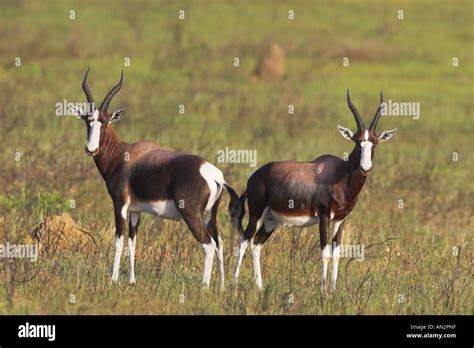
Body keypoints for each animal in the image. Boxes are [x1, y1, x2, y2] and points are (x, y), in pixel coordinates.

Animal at [72, 68, 239, 288]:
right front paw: (132, 281)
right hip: (209, 215)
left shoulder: (120, 204)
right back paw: (220, 287)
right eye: (87, 122)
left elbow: (118, 240)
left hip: (191, 214)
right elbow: (132, 242)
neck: (124, 154)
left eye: (105, 122)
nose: (90, 149)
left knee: (209, 244)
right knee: (219, 242)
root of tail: (214, 175)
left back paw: (204, 287)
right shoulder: (135, 210)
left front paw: (113, 280)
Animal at [230, 89, 396, 290]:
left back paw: (260, 288)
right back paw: (232, 285)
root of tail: (254, 177)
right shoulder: (324, 216)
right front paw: (323, 291)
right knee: (244, 241)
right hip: (256, 214)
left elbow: (337, 254)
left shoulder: (340, 220)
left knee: (256, 244)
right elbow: (325, 252)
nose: (365, 168)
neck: (340, 172)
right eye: (357, 142)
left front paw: (333, 290)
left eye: (375, 142)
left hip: (271, 219)